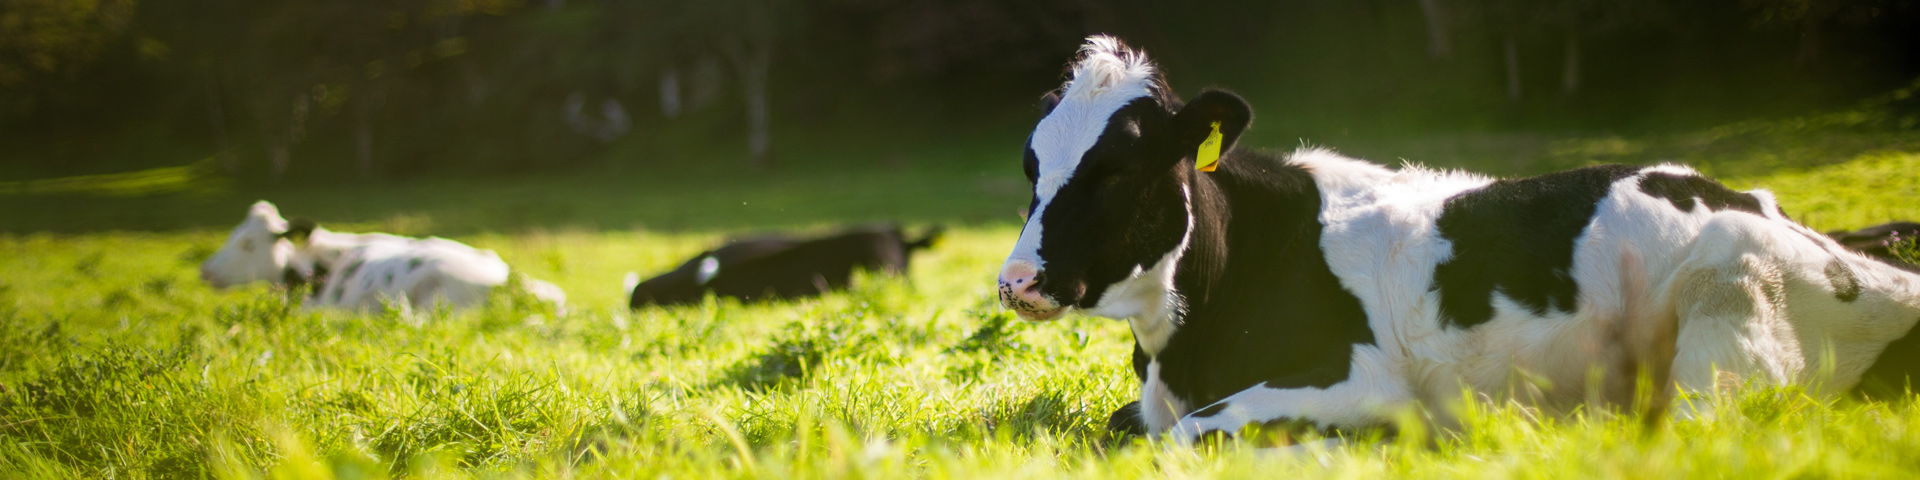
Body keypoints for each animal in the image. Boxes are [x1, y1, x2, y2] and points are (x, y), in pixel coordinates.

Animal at [998, 35, 1920, 443]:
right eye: (1031, 162)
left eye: (1118, 168)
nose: (1016, 281)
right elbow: (1130, 426)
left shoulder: (1359, 377)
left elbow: (1191, 435)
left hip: (1726, 321)